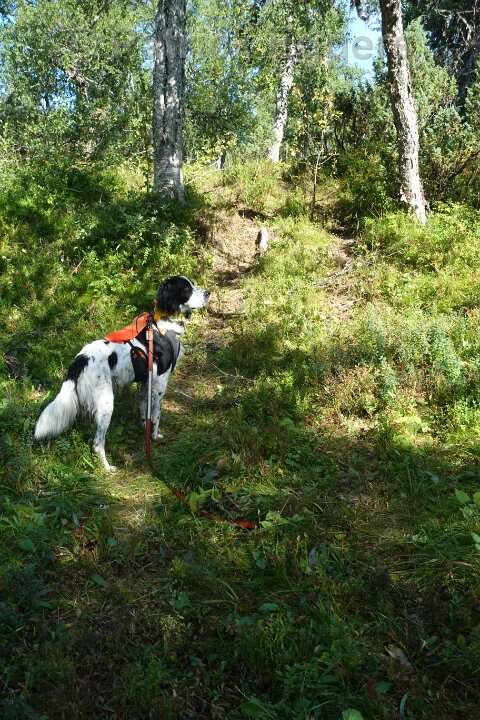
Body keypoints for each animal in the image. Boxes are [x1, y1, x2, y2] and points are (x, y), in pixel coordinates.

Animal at [34, 276, 210, 471]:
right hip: (106, 402)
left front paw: (144, 429)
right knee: (97, 443)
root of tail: (81, 359)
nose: (208, 293)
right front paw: (154, 436)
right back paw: (108, 467)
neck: (161, 326)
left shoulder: (145, 382)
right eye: (186, 288)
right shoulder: (160, 382)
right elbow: (156, 414)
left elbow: (143, 409)